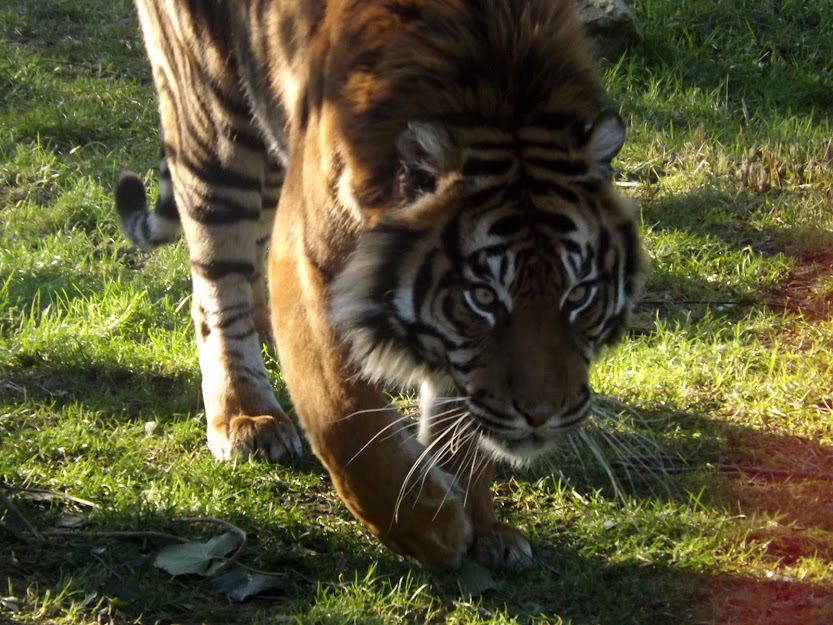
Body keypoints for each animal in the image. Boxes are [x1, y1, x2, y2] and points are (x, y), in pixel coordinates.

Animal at [115, 0, 644, 568]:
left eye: (579, 294)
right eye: (483, 297)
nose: (542, 415)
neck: (498, 90)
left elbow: (455, 415)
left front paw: (484, 526)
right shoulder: (311, 264)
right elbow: (346, 421)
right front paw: (431, 529)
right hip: (212, 119)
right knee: (216, 288)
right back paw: (246, 418)